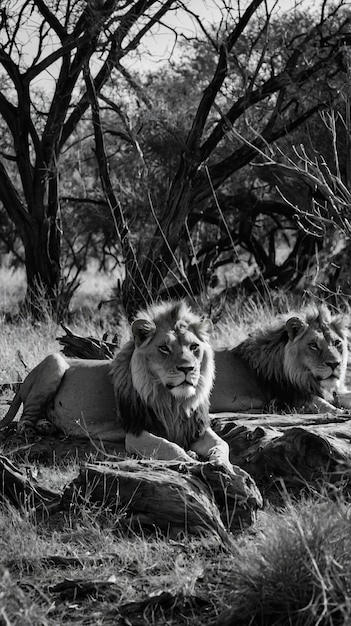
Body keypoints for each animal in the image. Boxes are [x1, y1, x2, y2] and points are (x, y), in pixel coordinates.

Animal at [0, 300, 231, 466]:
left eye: (194, 347)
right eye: (164, 348)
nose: (187, 368)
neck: (174, 401)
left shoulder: (195, 428)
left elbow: (223, 443)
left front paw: (222, 463)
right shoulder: (135, 433)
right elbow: (169, 447)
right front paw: (192, 461)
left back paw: (46, 425)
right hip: (54, 362)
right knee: (24, 418)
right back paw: (30, 429)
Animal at [210, 304, 351, 414]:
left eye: (337, 343)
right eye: (313, 345)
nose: (335, 364)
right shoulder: (284, 399)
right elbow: (319, 402)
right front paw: (339, 411)